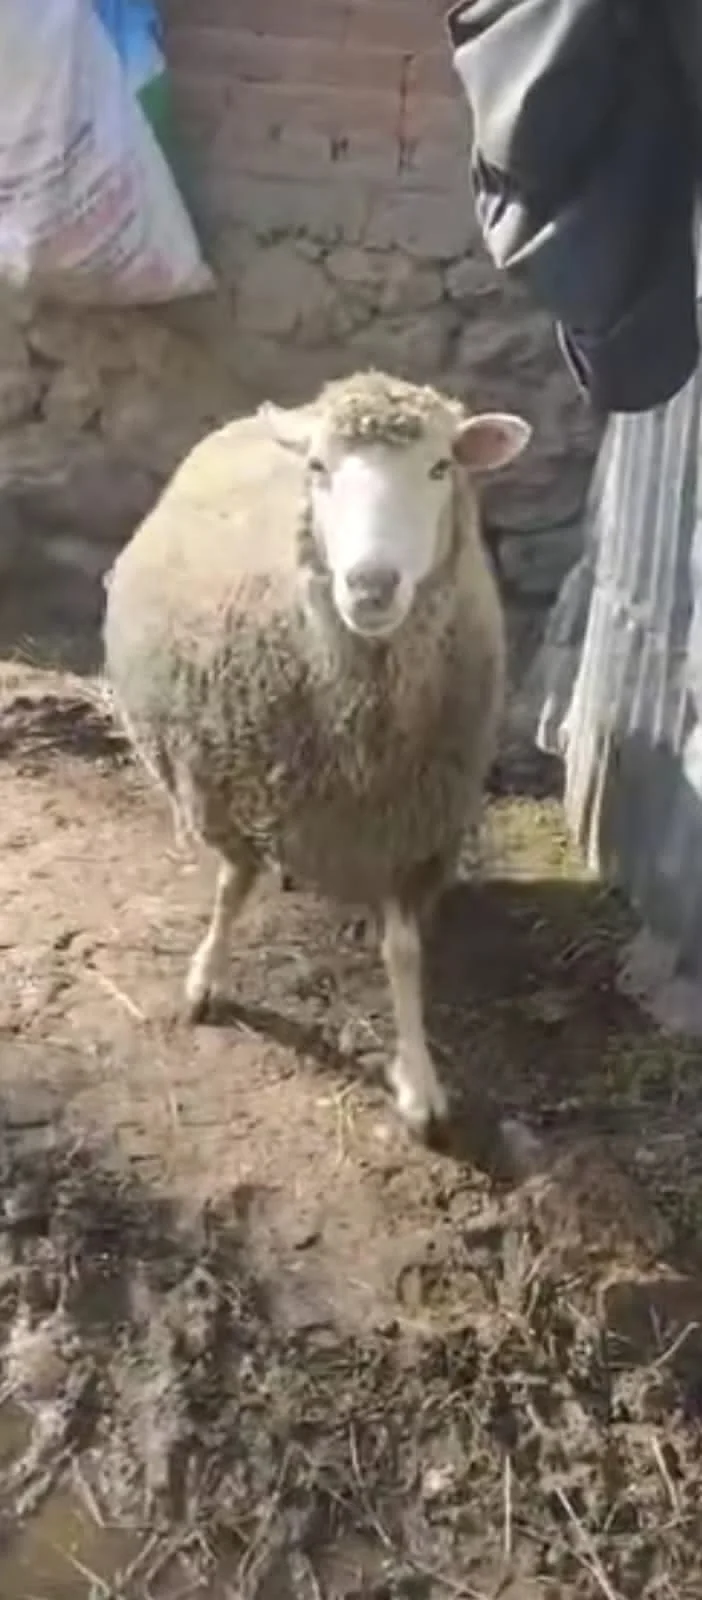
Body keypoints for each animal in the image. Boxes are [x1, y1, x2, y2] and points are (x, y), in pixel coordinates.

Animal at [103, 370, 531, 1139]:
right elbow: (231, 886)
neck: (362, 726)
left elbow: (403, 951)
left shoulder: (418, 823)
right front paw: (206, 978)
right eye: (319, 468)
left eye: (440, 467)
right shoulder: (223, 788)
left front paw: (419, 1081)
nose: (370, 586)